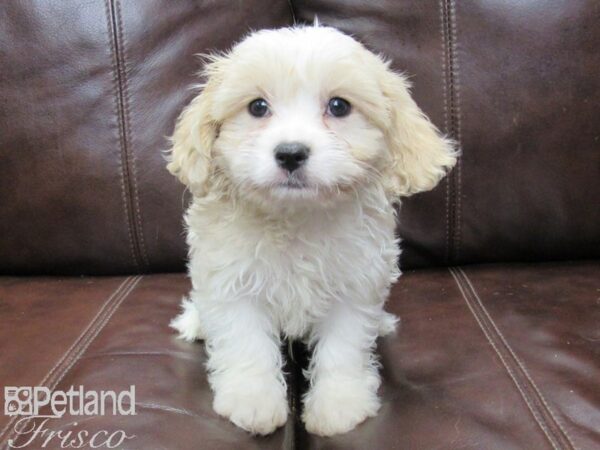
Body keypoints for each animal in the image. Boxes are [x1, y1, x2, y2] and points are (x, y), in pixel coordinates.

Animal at [166, 24, 458, 436]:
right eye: (258, 107)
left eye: (339, 107)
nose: (290, 153)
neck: (296, 217)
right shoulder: (232, 283)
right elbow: (245, 342)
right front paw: (251, 399)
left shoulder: (354, 287)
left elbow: (343, 347)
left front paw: (339, 403)